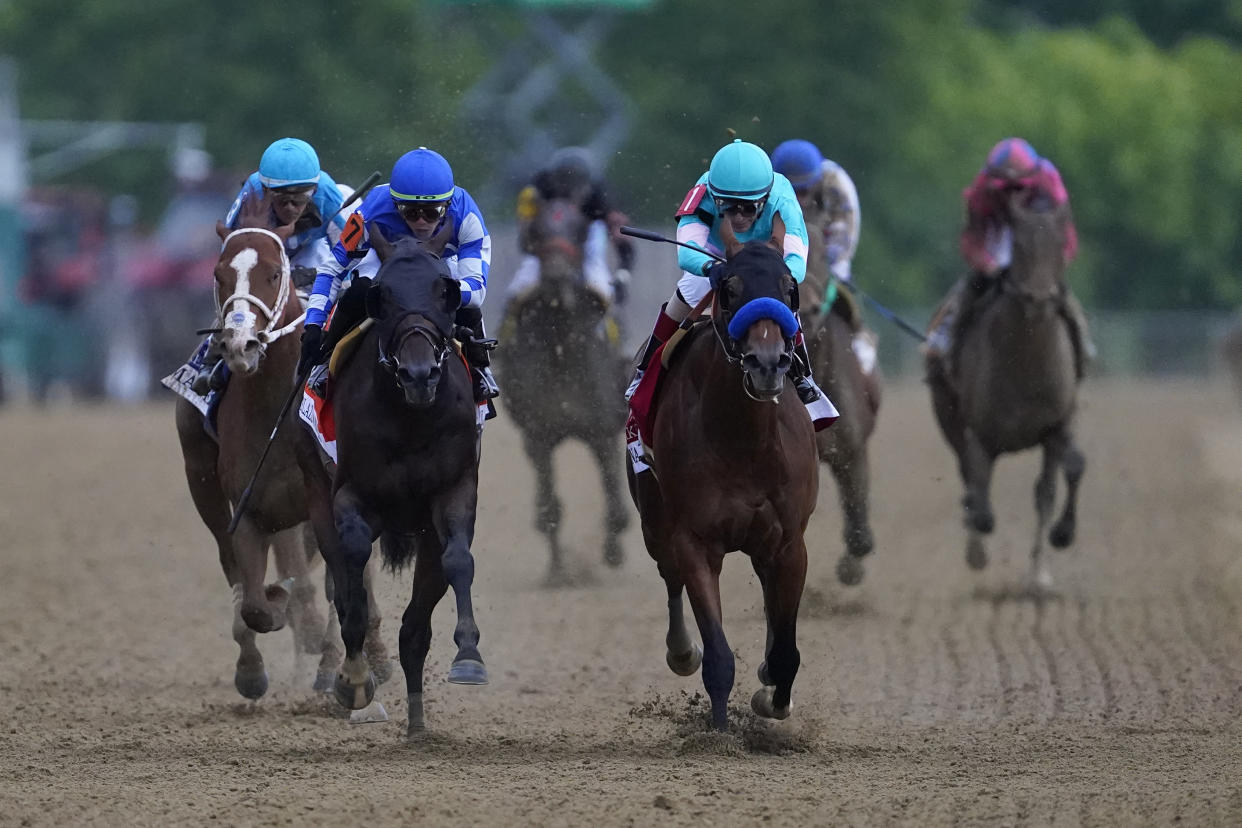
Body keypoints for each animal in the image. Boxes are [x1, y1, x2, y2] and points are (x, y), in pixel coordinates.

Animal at [494, 196, 630, 583]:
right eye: (536, 232)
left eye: (579, 230)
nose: (555, 279)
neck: (562, 349)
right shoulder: (539, 435)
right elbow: (549, 509)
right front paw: (558, 571)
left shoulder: (602, 431)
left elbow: (616, 505)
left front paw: (613, 554)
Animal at [625, 218, 819, 729]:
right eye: (729, 289)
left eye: (789, 288)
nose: (767, 363)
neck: (745, 442)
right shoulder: (695, 540)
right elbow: (717, 656)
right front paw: (717, 730)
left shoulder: (789, 542)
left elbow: (787, 651)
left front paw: (772, 700)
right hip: (653, 517)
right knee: (668, 574)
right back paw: (681, 652)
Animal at [929, 192, 1083, 588]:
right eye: (1021, 246)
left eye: (1059, 244)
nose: (1040, 299)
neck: (1026, 362)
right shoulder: (980, 434)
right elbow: (980, 502)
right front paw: (978, 550)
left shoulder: (1058, 426)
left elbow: (1059, 481)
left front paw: (1051, 553)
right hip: (949, 418)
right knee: (970, 482)